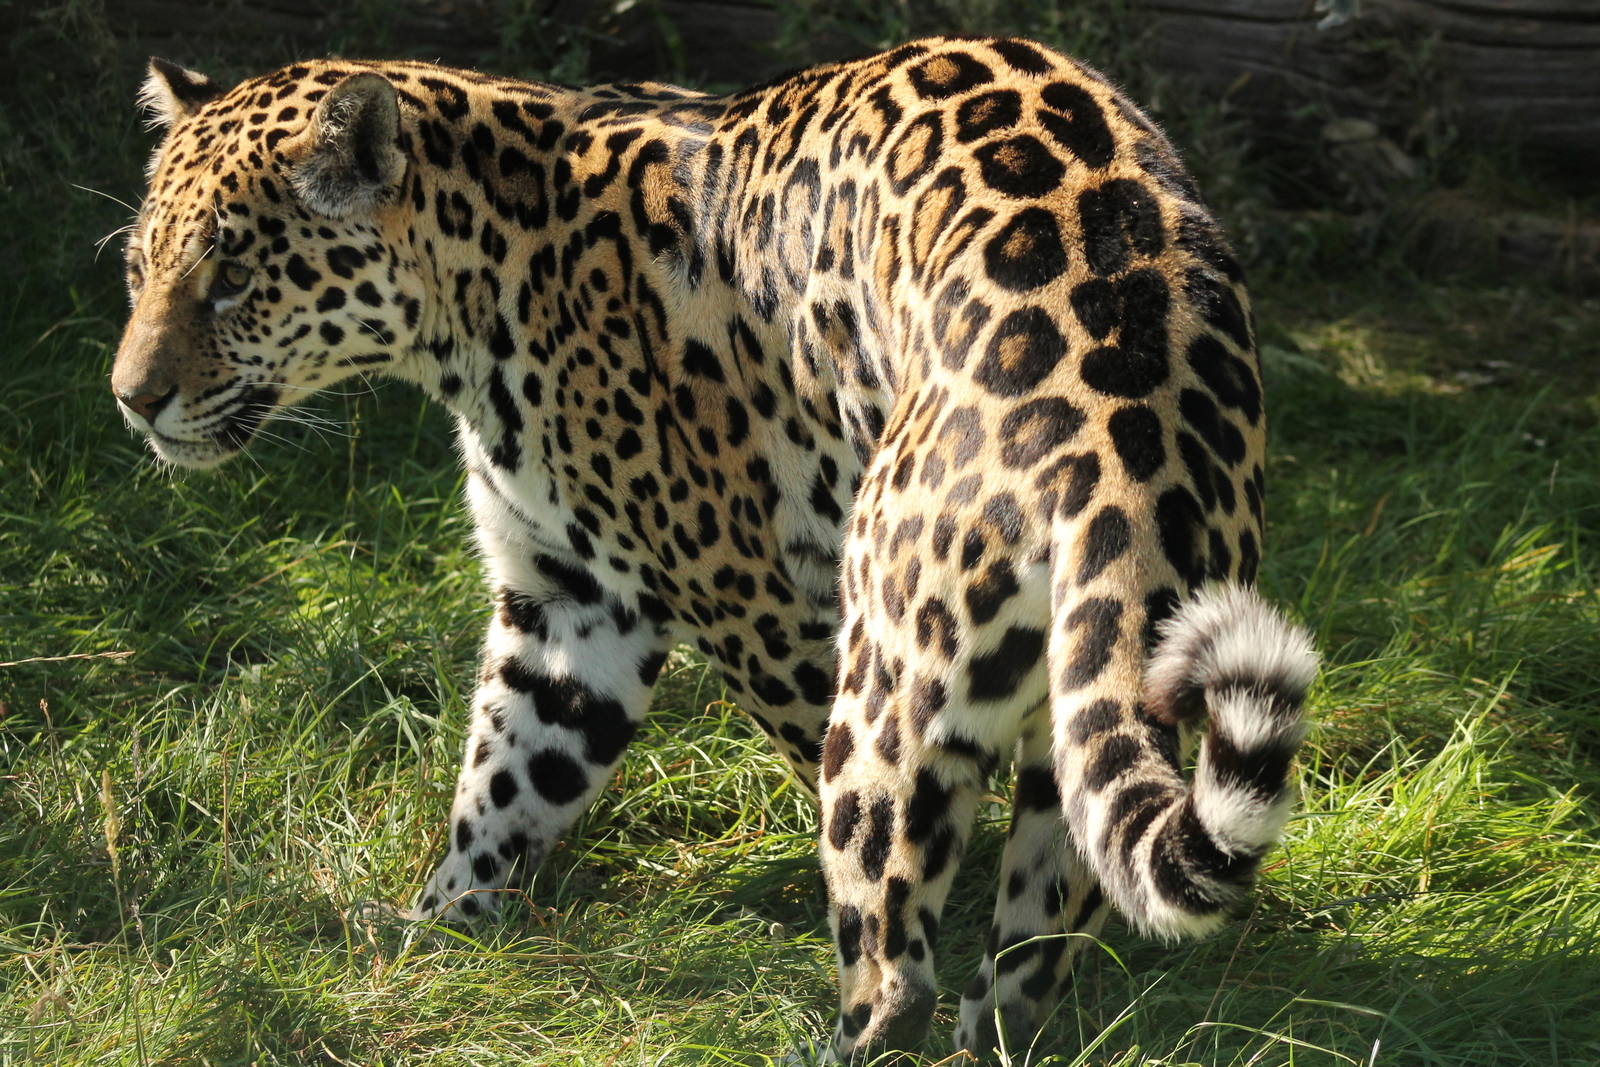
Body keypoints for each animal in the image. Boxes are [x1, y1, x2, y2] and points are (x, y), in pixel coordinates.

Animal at [112, 37, 1318, 1059]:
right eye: (138, 269)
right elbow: (508, 774)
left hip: (881, 661)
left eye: (232, 276)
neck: (475, 284)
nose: (131, 399)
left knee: (893, 953)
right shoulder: (567, 604)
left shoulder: (749, 601)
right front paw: (434, 927)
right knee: (1030, 944)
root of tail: (1115, 438)